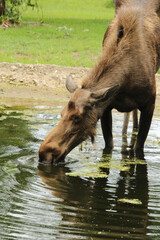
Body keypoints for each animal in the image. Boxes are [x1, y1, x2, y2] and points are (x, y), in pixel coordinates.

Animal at [39, 0, 160, 163]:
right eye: (62, 112)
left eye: (77, 117)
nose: (44, 152)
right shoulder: (105, 108)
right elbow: (109, 146)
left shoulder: (149, 105)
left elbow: (138, 148)